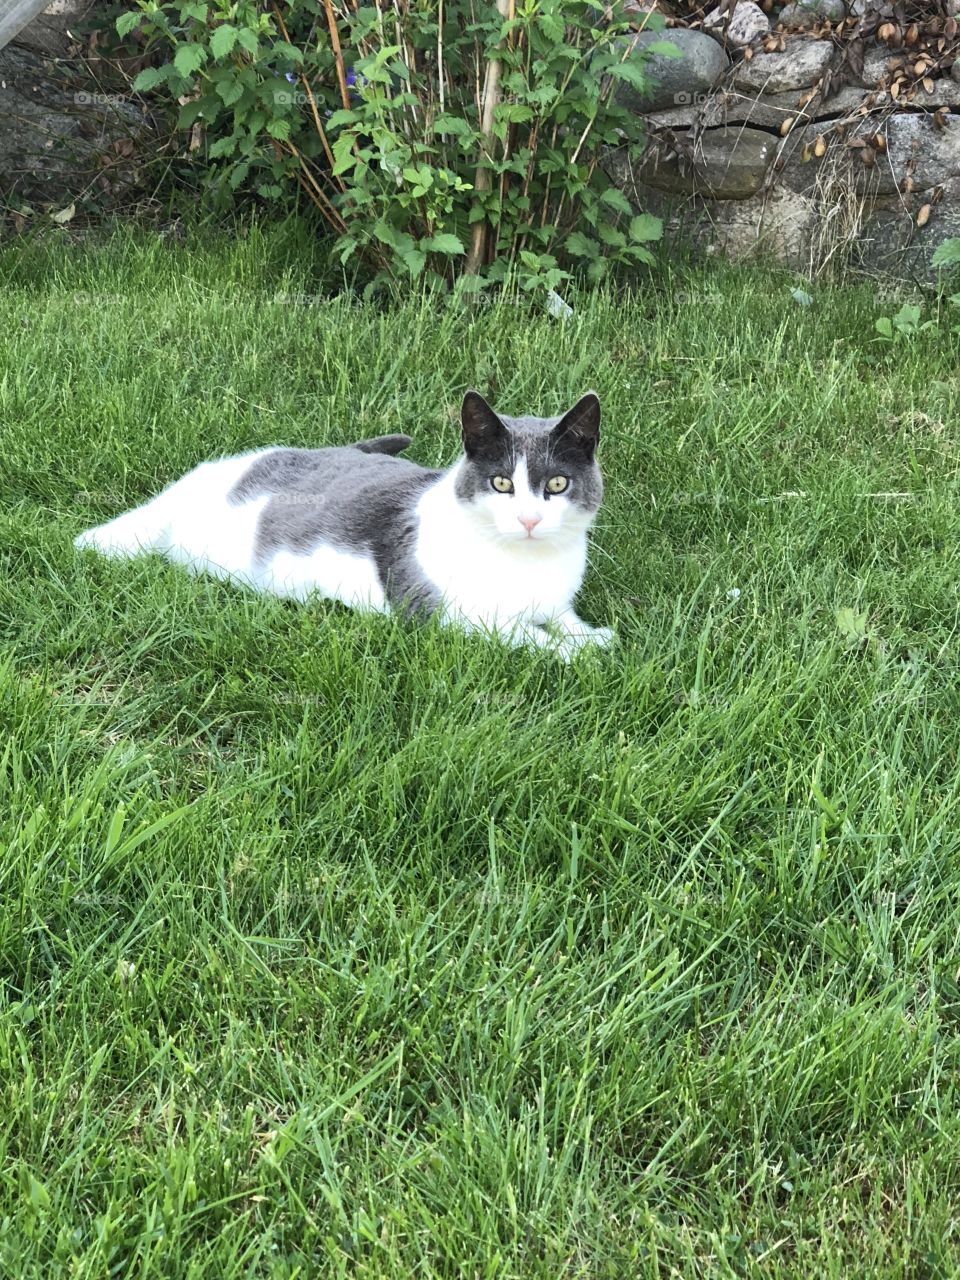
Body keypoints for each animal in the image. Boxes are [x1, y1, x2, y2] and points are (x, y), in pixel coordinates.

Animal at [77, 386, 616, 660]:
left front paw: (591, 637)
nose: (529, 519)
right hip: (188, 503)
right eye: (502, 483)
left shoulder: (555, 599)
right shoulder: (440, 611)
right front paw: (581, 655)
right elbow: (524, 634)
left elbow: (563, 620)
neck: (530, 564)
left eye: (558, 484)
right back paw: (95, 542)